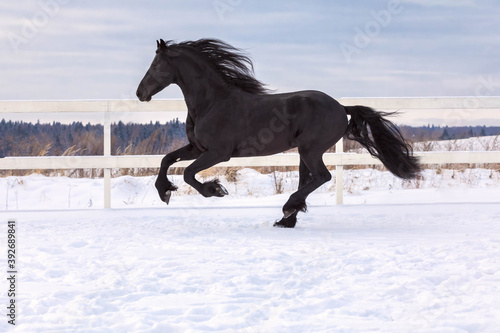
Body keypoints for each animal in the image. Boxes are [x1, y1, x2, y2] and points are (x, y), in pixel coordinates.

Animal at [136, 37, 418, 227]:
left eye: (156, 64)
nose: (140, 93)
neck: (213, 102)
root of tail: (340, 107)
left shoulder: (218, 153)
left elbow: (187, 173)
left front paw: (215, 190)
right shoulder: (197, 148)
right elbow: (166, 160)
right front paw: (164, 191)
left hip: (311, 149)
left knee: (322, 176)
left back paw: (287, 210)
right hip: (305, 152)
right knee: (309, 179)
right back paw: (287, 219)